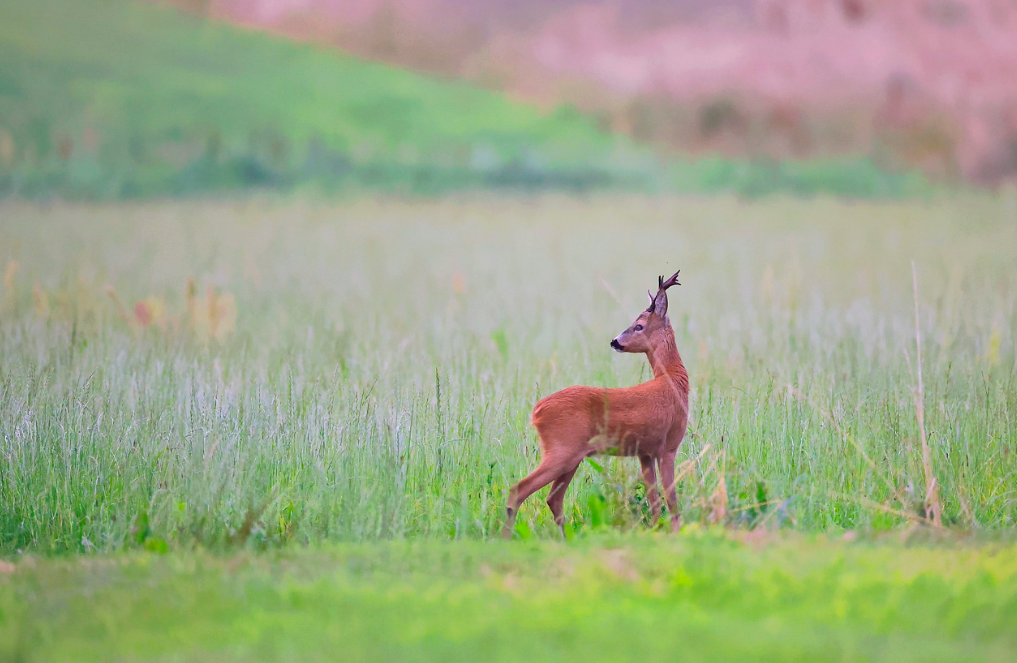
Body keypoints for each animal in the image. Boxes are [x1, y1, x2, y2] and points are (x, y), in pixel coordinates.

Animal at [506, 268, 691, 536]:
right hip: (562, 450)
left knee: (553, 498)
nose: (615, 341)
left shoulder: (644, 452)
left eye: (639, 326)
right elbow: (671, 499)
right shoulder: (669, 445)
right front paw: (675, 533)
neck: (672, 381)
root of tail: (536, 412)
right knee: (519, 489)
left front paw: (656, 531)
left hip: (572, 456)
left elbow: (654, 500)